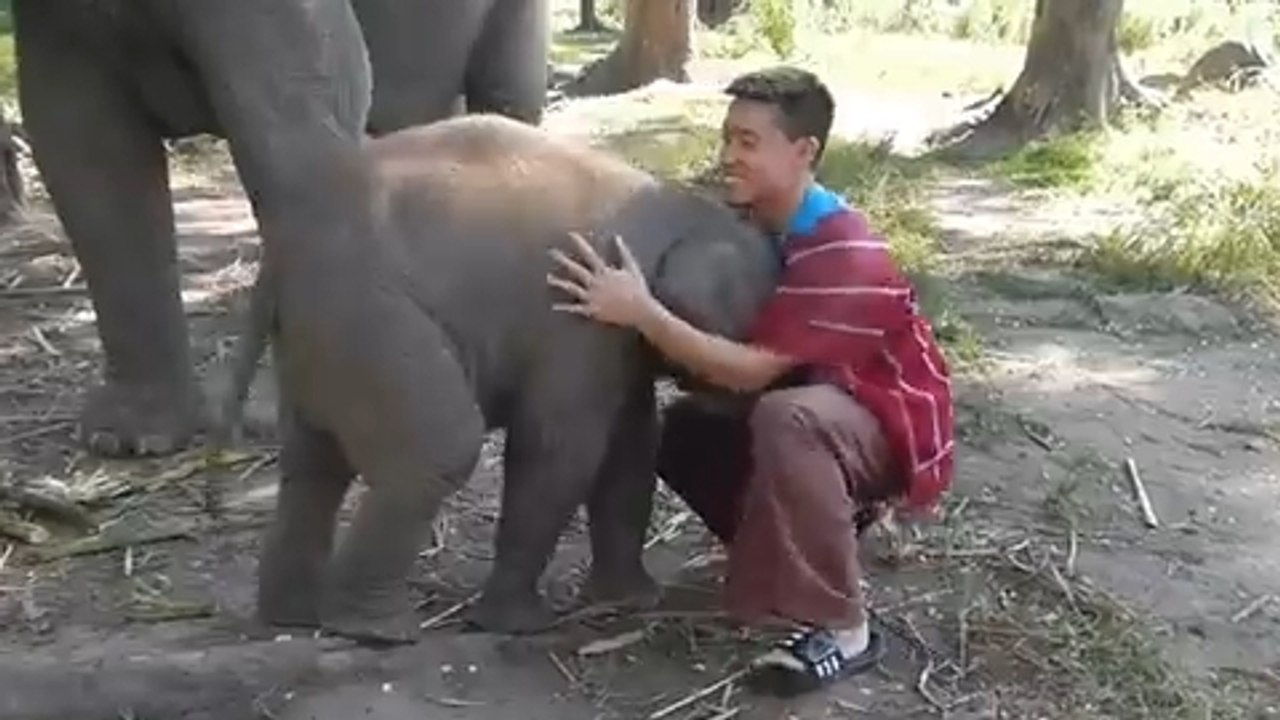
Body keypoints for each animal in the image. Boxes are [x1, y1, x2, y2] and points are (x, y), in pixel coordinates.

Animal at [210, 113, 781, 641]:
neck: (683, 205)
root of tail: (281, 257)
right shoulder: (574, 317)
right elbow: (561, 448)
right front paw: (520, 625)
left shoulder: (613, 342)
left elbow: (630, 447)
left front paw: (631, 601)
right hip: (367, 320)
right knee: (438, 448)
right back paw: (378, 630)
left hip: (321, 339)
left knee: (312, 465)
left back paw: (295, 617)